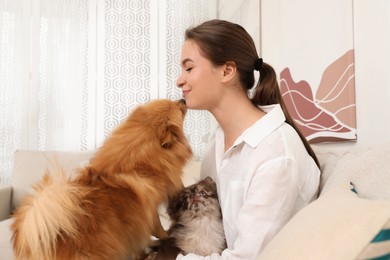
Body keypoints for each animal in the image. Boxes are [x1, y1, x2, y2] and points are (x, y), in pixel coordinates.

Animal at [11, 99, 193, 260]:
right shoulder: (148, 208)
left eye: (174, 101)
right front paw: (164, 236)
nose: (183, 99)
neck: (137, 163)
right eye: (179, 109)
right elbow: (157, 226)